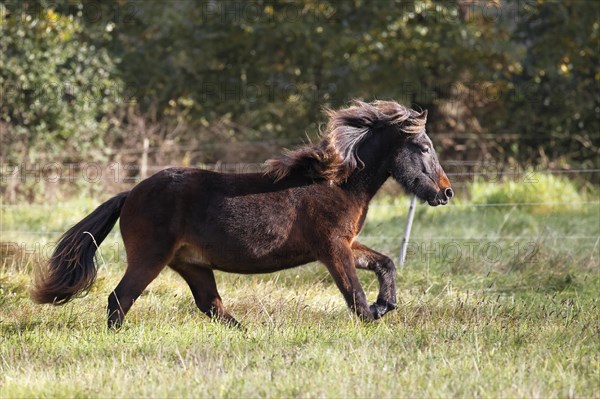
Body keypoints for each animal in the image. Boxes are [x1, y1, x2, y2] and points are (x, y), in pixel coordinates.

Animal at [32, 101, 452, 330]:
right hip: (151, 258)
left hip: (191, 263)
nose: (446, 192)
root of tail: (130, 193)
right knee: (120, 299)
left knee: (211, 306)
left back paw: (251, 334)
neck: (338, 183)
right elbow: (354, 295)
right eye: (423, 146)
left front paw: (387, 305)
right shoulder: (333, 249)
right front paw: (375, 313)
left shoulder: (346, 245)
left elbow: (385, 264)